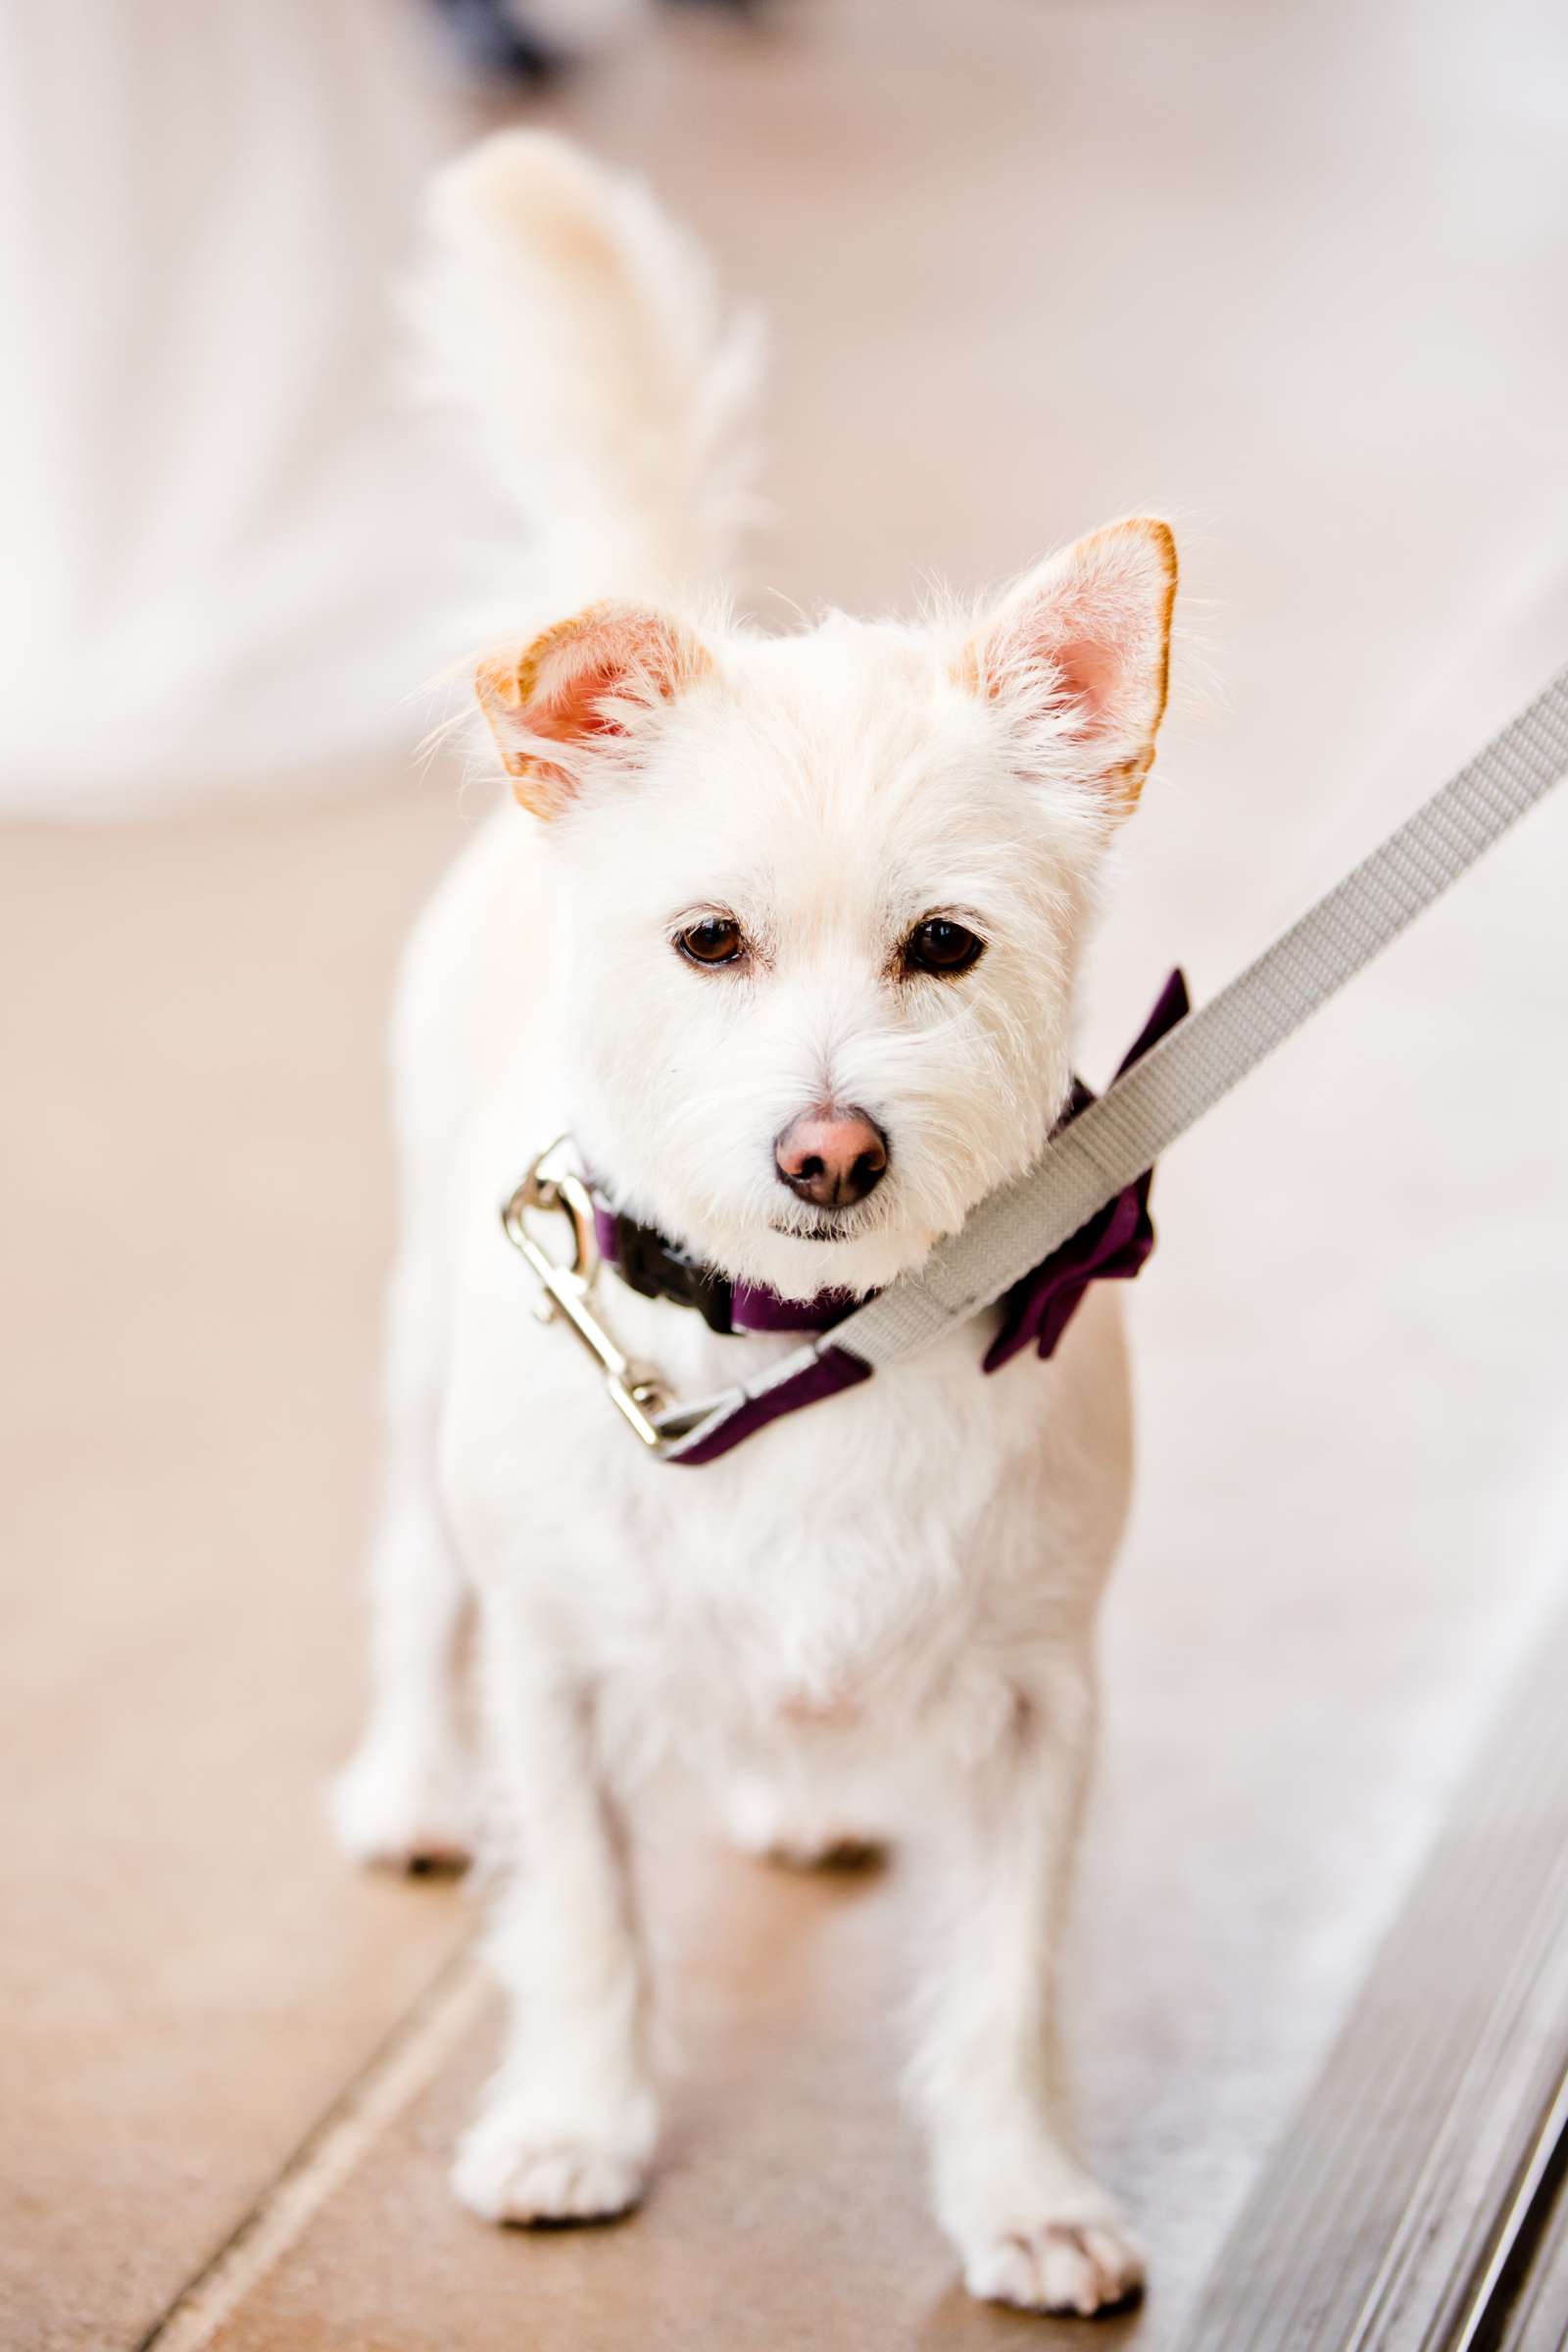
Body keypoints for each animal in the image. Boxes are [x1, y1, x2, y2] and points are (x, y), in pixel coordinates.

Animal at [333, 128, 1175, 2314]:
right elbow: (584, 1926)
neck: (819, 1356)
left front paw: (1019, 2193)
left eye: (945, 946)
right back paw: (406, 1784)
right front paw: (574, 2124)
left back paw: (795, 1792)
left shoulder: (1041, 1711)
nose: (827, 1154)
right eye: (705, 942)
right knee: (411, 1590)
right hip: (413, 1373)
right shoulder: (555, 1678)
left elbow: (1004, 1984)